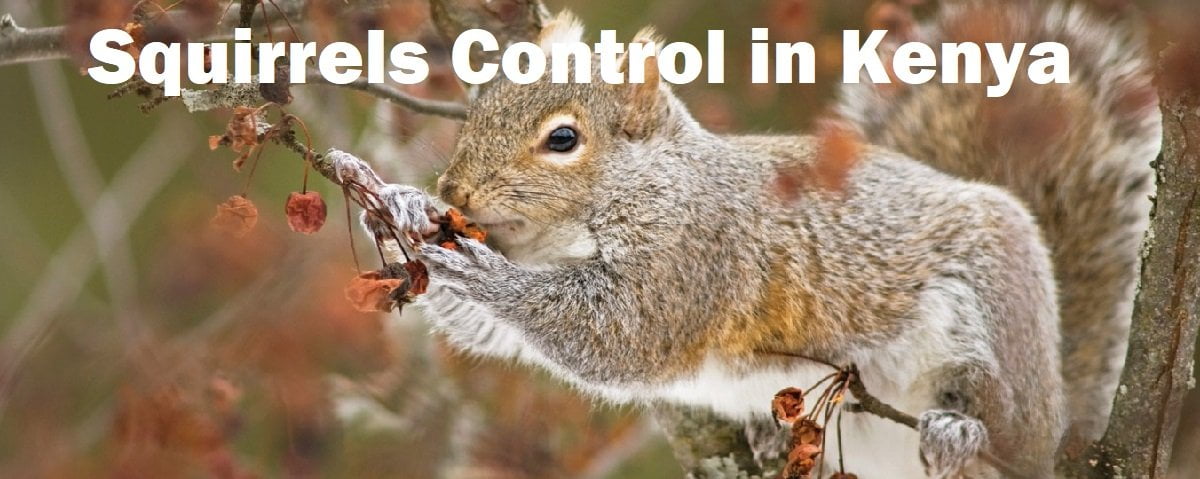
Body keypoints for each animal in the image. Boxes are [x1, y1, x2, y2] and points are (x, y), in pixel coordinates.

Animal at [374, 2, 1159, 477]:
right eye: (480, 109)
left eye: (563, 139)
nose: (454, 192)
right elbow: (491, 331)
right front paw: (400, 209)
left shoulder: (698, 250)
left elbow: (621, 334)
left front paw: (479, 268)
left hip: (996, 316)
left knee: (1005, 424)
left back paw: (962, 434)